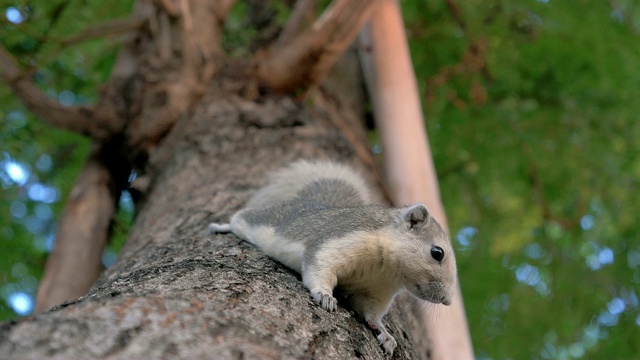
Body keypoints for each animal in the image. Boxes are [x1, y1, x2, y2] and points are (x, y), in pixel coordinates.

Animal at [208, 160, 458, 354]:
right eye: (437, 253)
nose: (447, 300)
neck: (387, 268)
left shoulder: (378, 291)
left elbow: (371, 312)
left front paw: (385, 333)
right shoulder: (335, 244)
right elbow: (320, 267)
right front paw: (324, 295)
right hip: (265, 220)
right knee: (242, 217)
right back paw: (220, 226)